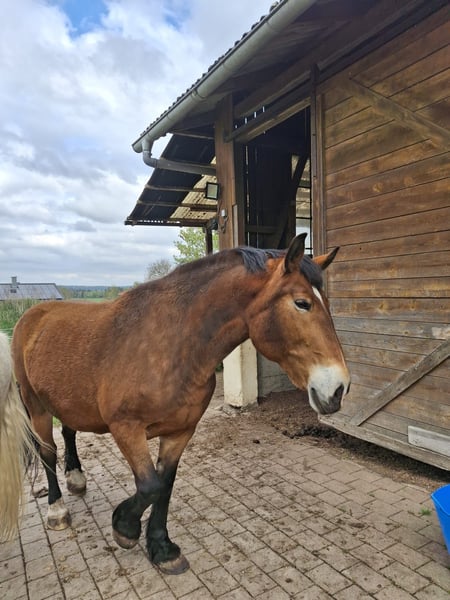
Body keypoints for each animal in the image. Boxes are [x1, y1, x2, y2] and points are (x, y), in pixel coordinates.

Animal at [4, 233, 350, 575]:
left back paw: (76, 479)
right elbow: (150, 486)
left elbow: (165, 485)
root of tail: (31, 317)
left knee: (69, 432)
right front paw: (124, 528)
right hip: (36, 405)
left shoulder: (180, 431)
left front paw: (161, 547)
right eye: (302, 303)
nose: (338, 389)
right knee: (47, 451)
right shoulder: (126, 428)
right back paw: (57, 509)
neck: (172, 346)